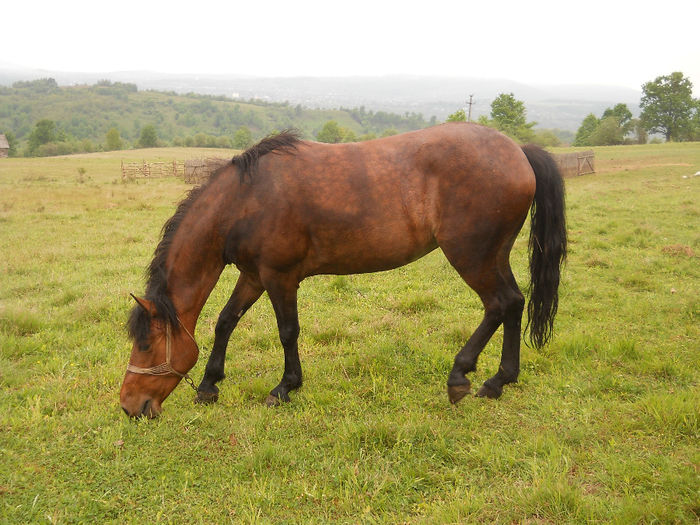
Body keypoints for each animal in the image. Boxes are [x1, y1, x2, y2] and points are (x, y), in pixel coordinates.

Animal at [121, 123, 568, 418]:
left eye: (146, 345)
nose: (129, 406)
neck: (243, 200)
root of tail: (518, 151)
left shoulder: (279, 277)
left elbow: (287, 332)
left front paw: (285, 387)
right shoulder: (253, 275)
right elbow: (225, 322)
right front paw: (209, 384)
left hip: (472, 256)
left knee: (499, 304)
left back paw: (462, 376)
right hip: (493, 256)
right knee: (514, 303)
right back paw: (499, 381)